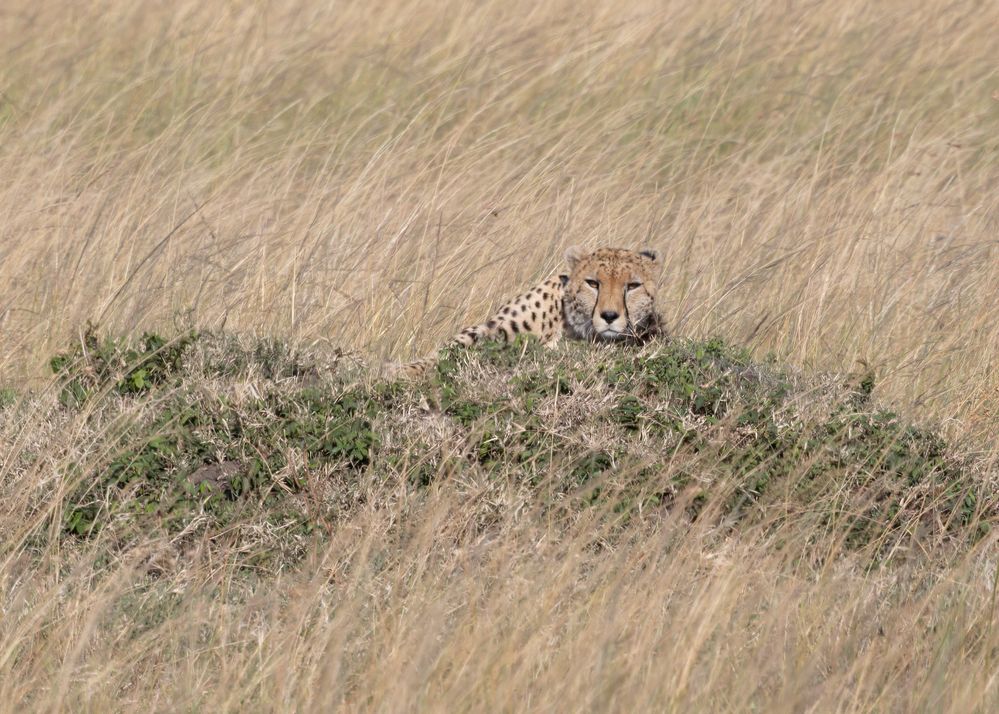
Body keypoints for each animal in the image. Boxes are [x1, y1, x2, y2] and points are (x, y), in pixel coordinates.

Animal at [390, 246, 664, 378]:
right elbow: (451, 348)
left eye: (632, 286)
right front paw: (402, 371)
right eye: (593, 283)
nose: (609, 316)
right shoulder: (496, 328)